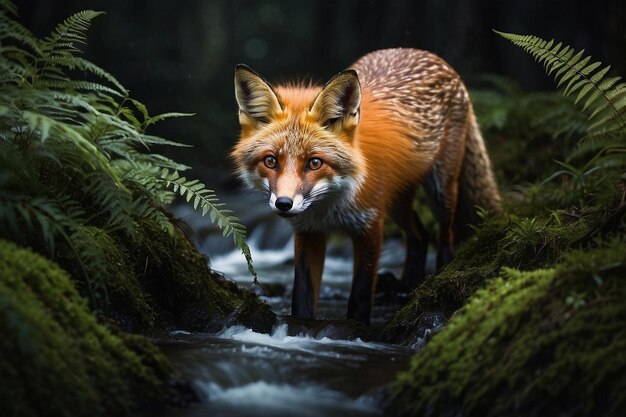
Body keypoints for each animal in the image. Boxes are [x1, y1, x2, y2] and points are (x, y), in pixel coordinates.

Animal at [232, 48, 500, 322]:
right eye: (271, 161)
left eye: (315, 163)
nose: (283, 204)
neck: (329, 207)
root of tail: (423, 53)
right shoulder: (309, 232)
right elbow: (302, 296)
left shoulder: (369, 226)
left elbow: (359, 295)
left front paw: (357, 326)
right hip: (395, 202)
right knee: (420, 236)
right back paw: (406, 288)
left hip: (439, 193)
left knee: (444, 235)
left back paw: (438, 275)